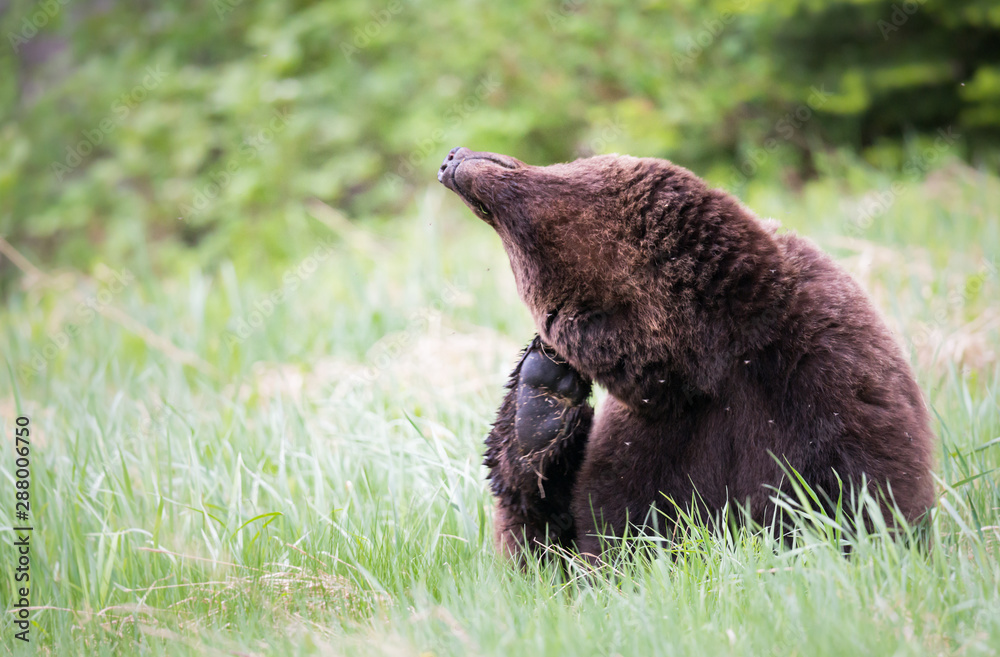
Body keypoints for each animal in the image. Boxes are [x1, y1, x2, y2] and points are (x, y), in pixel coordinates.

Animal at [437, 146, 936, 561]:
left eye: (556, 172)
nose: (452, 159)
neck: (719, 355)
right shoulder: (655, 435)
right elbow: (597, 537)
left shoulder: (825, 377)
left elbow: (862, 505)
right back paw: (538, 405)